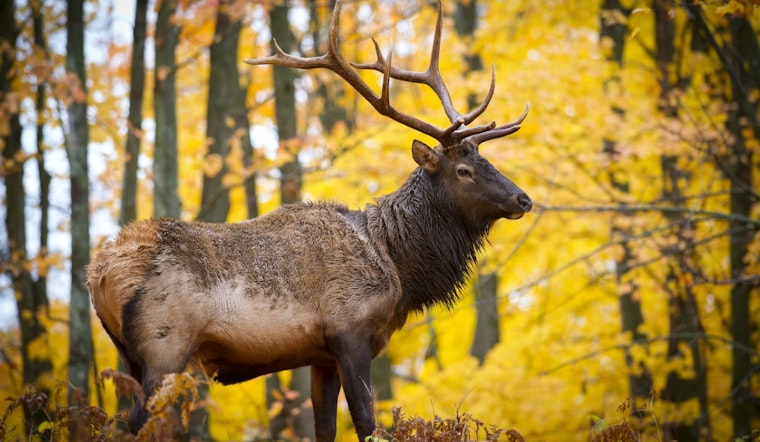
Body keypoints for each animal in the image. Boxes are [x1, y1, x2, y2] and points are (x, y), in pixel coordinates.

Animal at [87, 1, 532, 440]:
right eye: (464, 171)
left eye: (486, 161)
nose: (523, 198)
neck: (398, 267)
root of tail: (99, 273)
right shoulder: (350, 331)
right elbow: (367, 423)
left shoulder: (321, 355)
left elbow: (326, 428)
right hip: (164, 344)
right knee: (138, 421)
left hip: (129, 354)